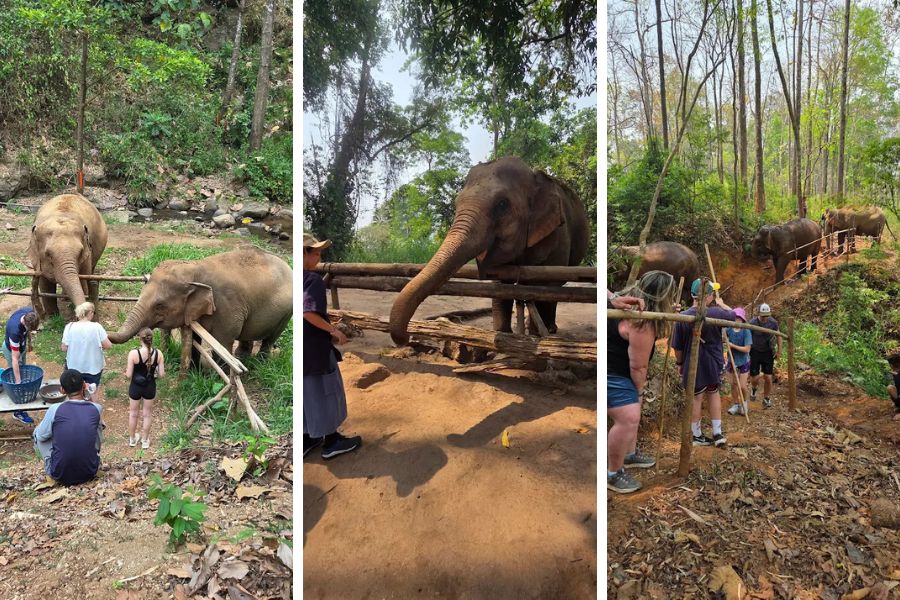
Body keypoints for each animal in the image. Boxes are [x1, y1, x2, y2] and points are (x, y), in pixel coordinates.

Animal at [106, 248, 293, 363]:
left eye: (160, 305)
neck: (196, 267)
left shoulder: (228, 307)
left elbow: (223, 343)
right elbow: (195, 340)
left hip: (286, 313)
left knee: (270, 338)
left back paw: (258, 362)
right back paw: (242, 358)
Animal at [389, 156, 589, 345]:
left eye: (502, 204)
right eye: (456, 203)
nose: (407, 336)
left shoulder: (558, 235)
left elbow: (545, 286)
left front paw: (535, 337)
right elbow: (501, 286)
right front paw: (503, 335)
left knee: (553, 289)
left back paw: (549, 330)